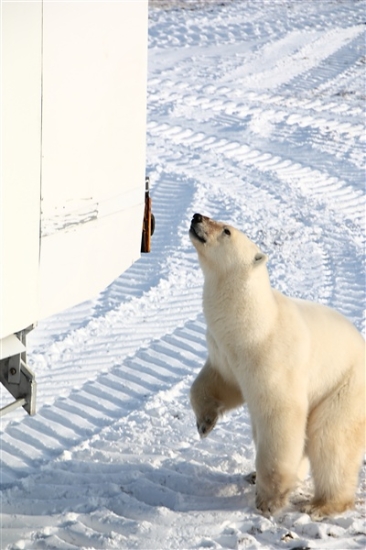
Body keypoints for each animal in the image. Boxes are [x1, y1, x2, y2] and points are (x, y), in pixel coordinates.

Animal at [190, 213, 364, 520]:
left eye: (226, 230)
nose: (197, 216)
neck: (252, 325)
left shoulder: (271, 356)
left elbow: (280, 415)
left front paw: (269, 501)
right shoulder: (225, 351)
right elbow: (218, 382)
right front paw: (205, 423)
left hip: (344, 387)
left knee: (331, 441)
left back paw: (322, 504)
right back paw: (255, 476)